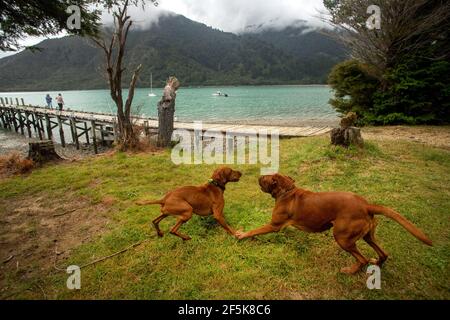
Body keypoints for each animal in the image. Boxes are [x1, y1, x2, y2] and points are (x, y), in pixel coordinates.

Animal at [236, 174, 432, 274]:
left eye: (264, 179)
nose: (257, 177)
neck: (287, 191)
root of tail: (366, 205)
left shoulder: (274, 225)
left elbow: (254, 230)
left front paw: (241, 235)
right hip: (367, 236)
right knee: (383, 254)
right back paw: (376, 263)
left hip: (342, 238)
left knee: (361, 259)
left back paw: (350, 271)